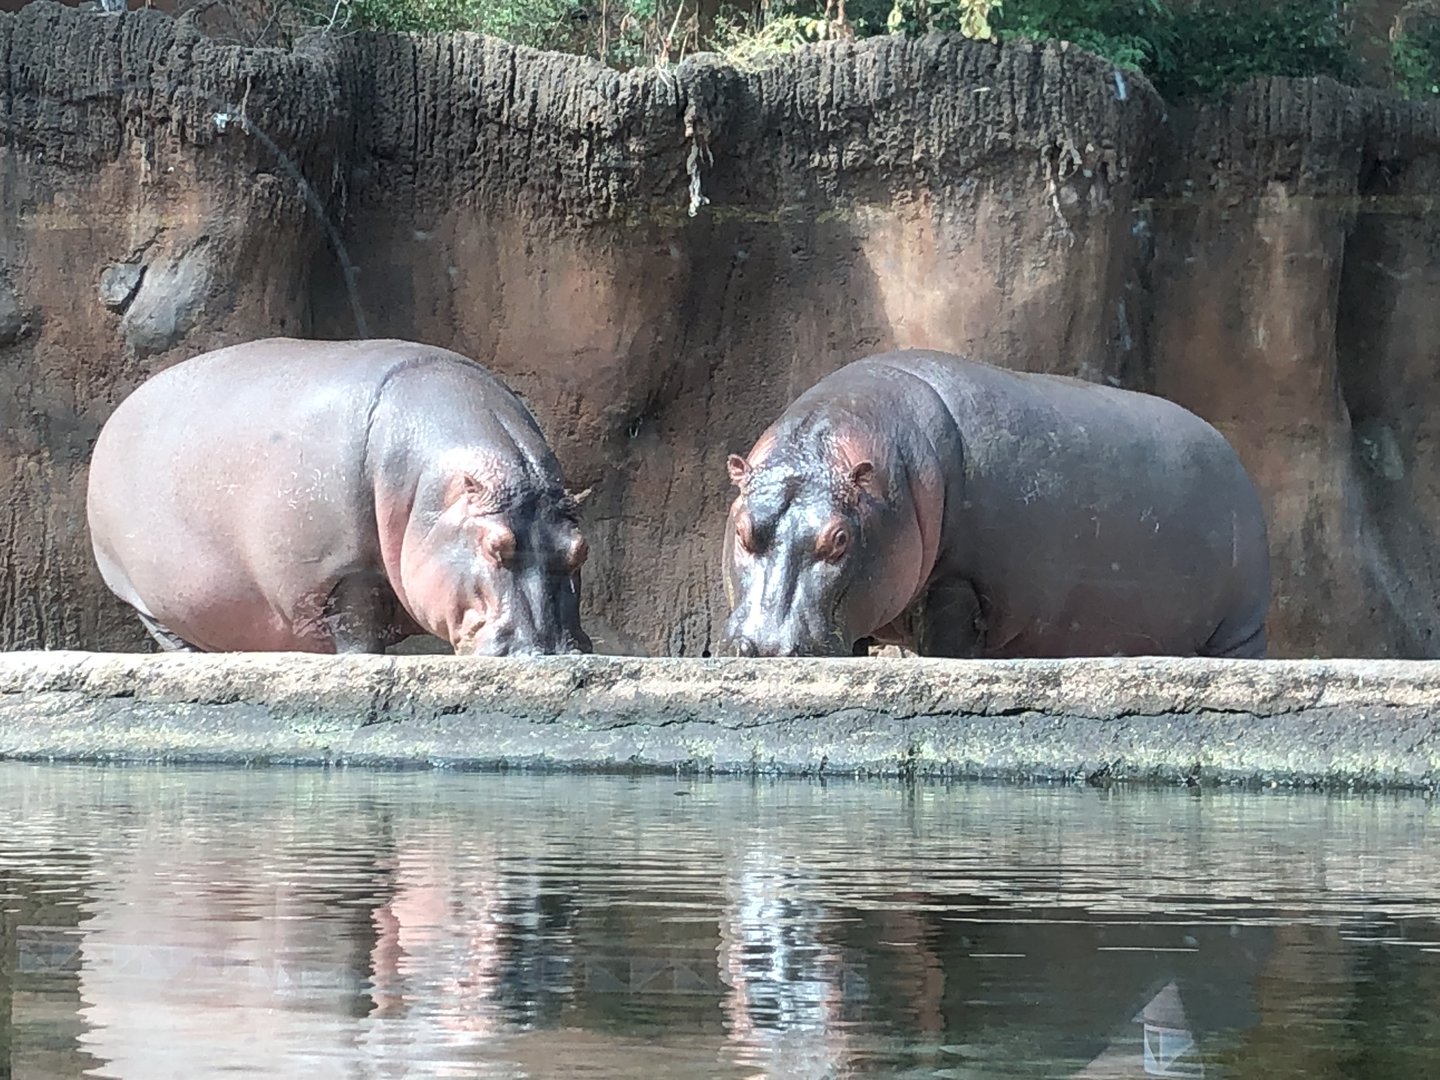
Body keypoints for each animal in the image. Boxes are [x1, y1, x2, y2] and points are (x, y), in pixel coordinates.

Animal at [87, 338, 593, 656]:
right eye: (494, 546)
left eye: (580, 550)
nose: (548, 653)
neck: (427, 490)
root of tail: (119, 415)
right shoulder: (343, 571)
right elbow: (358, 630)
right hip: (142, 596)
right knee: (175, 639)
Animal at [720, 349, 1271, 659]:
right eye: (744, 531)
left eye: (838, 539)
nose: (766, 646)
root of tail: (1234, 458)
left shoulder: (959, 583)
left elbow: (946, 643)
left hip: (1240, 629)